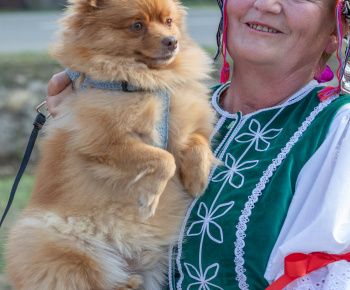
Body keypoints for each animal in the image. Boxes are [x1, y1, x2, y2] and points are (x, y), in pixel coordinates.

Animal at [6, 0, 216, 288]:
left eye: (169, 22)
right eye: (137, 25)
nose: (172, 41)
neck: (148, 84)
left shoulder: (186, 121)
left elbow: (197, 141)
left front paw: (197, 179)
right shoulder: (105, 143)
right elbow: (164, 159)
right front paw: (149, 196)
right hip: (64, 251)